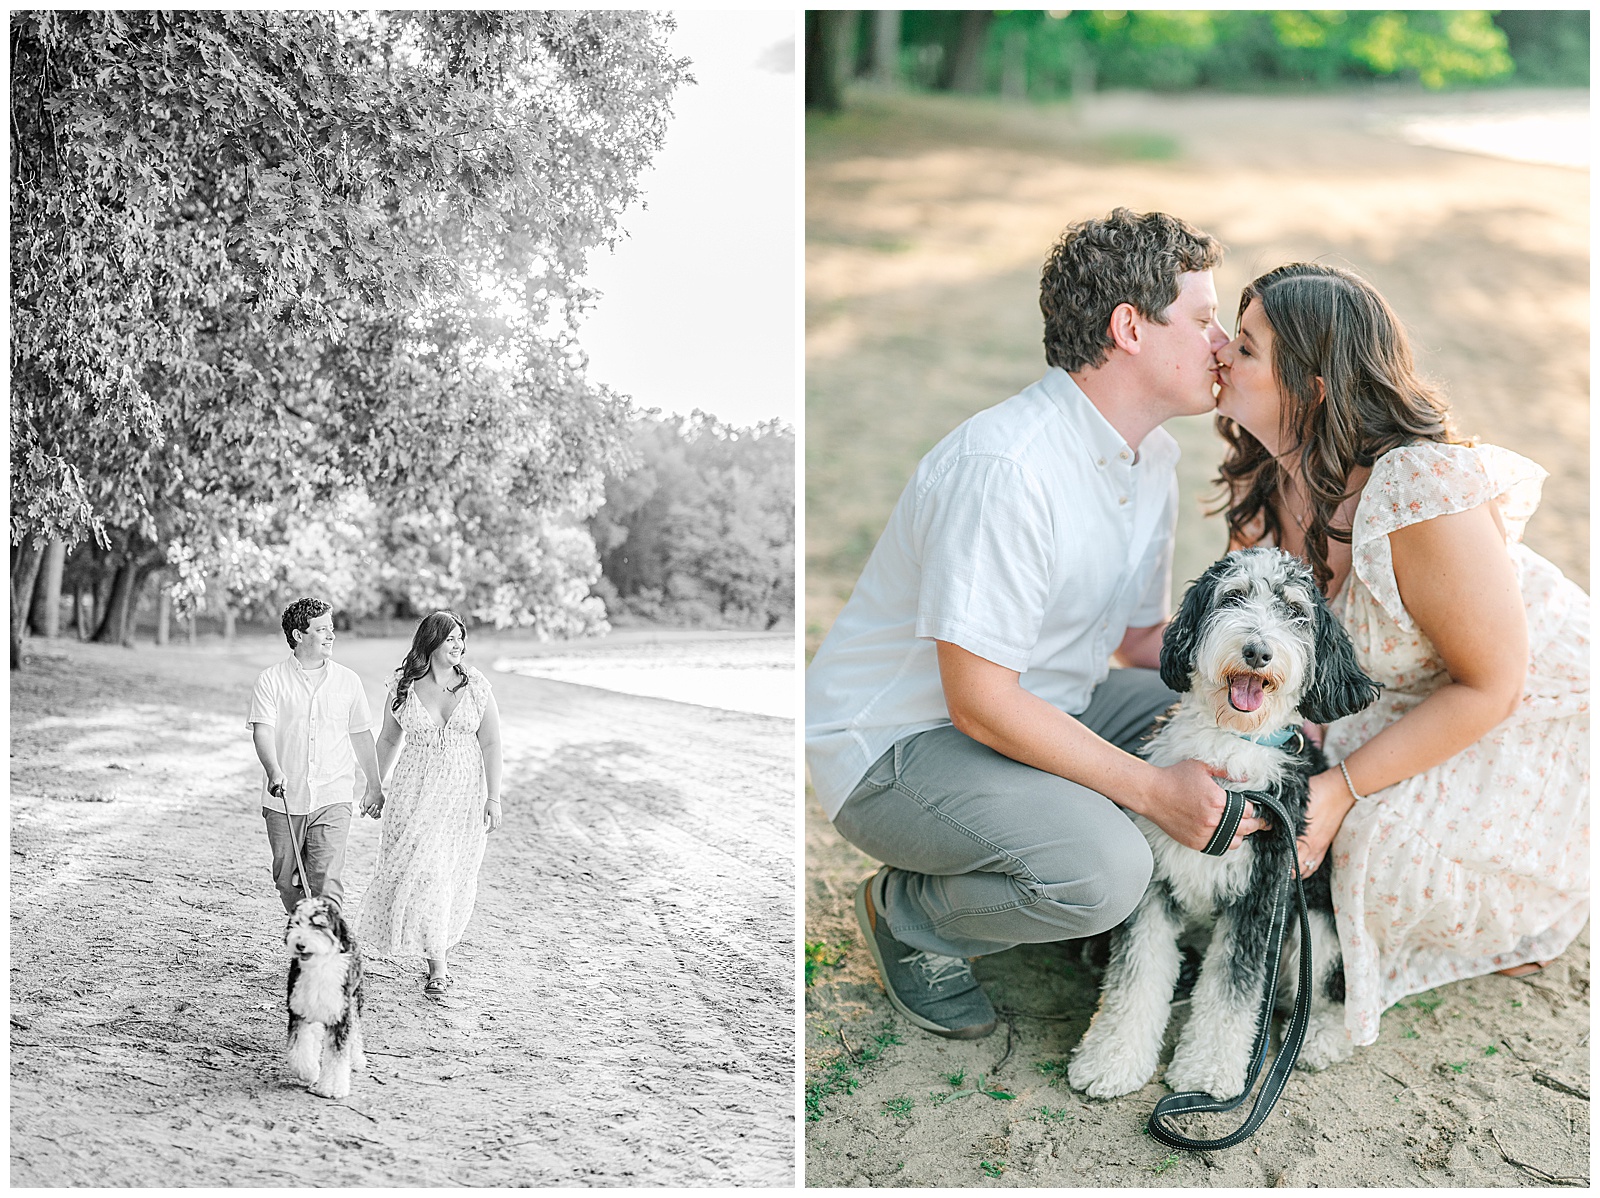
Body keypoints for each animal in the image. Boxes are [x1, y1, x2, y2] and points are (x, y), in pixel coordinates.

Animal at [286, 895, 366, 1100]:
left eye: (319, 925)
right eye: (297, 923)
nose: (300, 945)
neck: (319, 966)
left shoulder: (341, 1017)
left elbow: (337, 1057)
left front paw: (331, 1088)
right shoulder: (299, 1011)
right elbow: (298, 1047)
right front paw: (308, 1071)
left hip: (354, 1000)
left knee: (356, 1032)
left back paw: (357, 1059)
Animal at [1068, 547, 1382, 1100]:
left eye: (1295, 611)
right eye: (1233, 596)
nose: (1257, 651)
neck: (1231, 741)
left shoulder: (1262, 898)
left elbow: (1233, 990)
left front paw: (1208, 1070)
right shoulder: (1155, 888)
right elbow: (1136, 977)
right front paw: (1112, 1059)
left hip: (1318, 924)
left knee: (1328, 992)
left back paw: (1320, 1038)